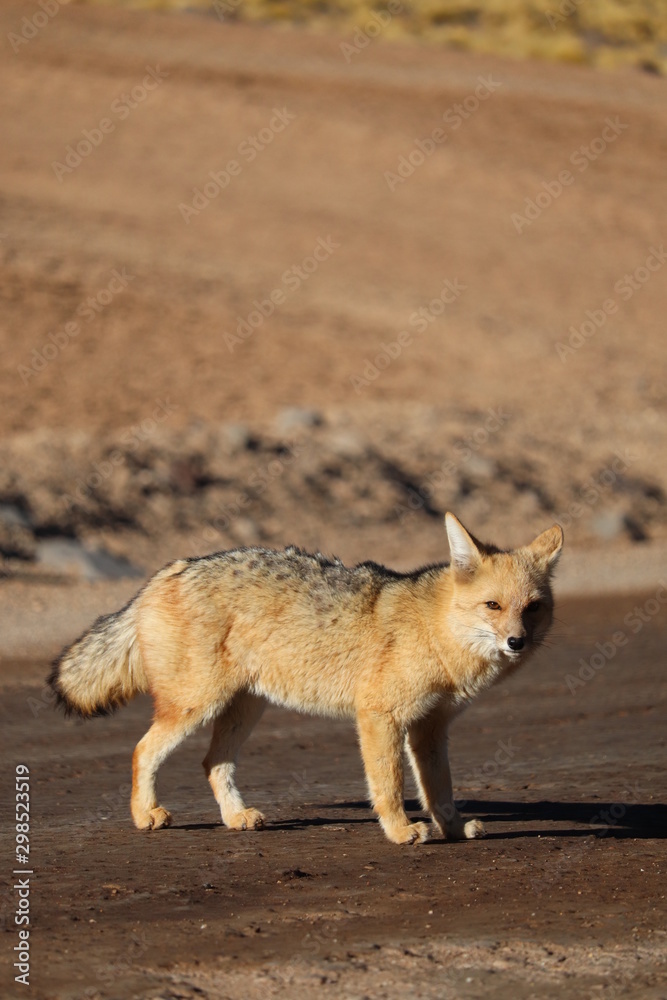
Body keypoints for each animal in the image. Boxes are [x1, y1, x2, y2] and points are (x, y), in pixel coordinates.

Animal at [49, 513, 562, 845]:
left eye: (532, 608)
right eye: (493, 606)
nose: (516, 642)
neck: (437, 630)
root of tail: (166, 572)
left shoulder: (430, 728)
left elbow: (440, 788)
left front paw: (452, 829)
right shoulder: (379, 717)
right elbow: (389, 783)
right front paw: (400, 831)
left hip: (244, 709)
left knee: (212, 763)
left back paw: (236, 817)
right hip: (196, 705)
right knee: (142, 750)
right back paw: (145, 815)